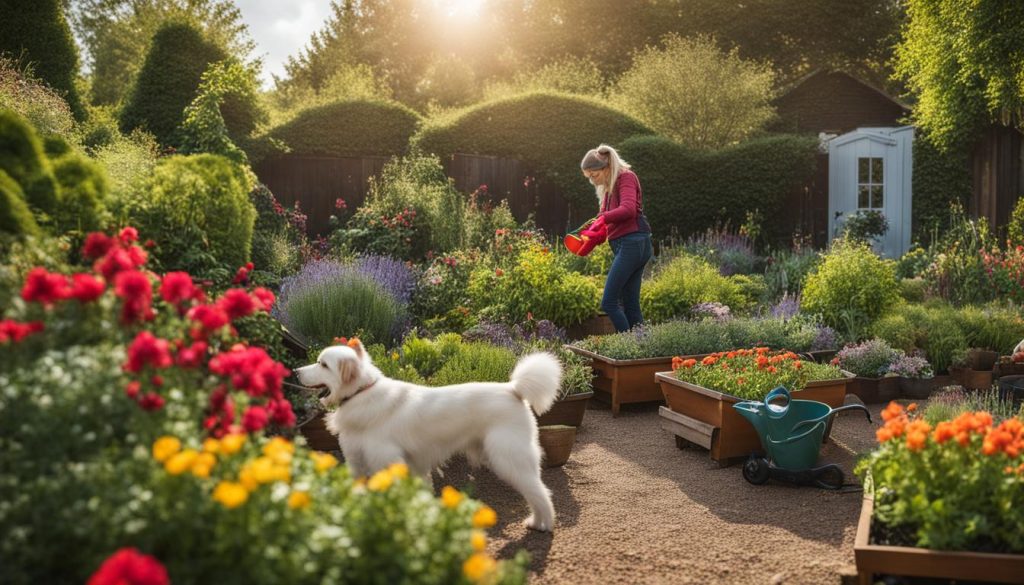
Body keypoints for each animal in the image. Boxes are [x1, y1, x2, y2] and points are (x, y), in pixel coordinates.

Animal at [296, 340, 565, 532]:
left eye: (323, 364)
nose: (296, 371)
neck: (362, 393)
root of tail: (513, 389)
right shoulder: (359, 462)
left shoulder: (387, 461)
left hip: (510, 459)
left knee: (541, 493)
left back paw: (541, 524)